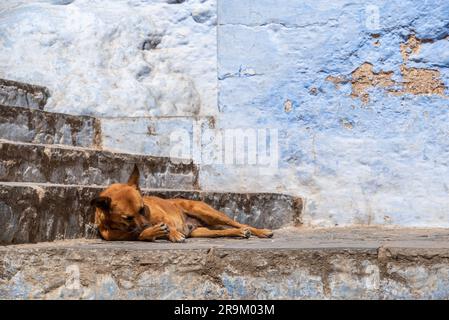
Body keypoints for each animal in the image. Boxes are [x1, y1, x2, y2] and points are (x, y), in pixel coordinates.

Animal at [91, 165, 272, 242]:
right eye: (128, 217)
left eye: (143, 209)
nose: (147, 225)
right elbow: (140, 234)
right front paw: (152, 232)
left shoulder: (162, 216)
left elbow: (167, 226)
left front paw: (171, 233)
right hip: (202, 232)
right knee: (222, 232)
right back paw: (240, 233)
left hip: (209, 213)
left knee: (238, 223)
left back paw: (261, 231)